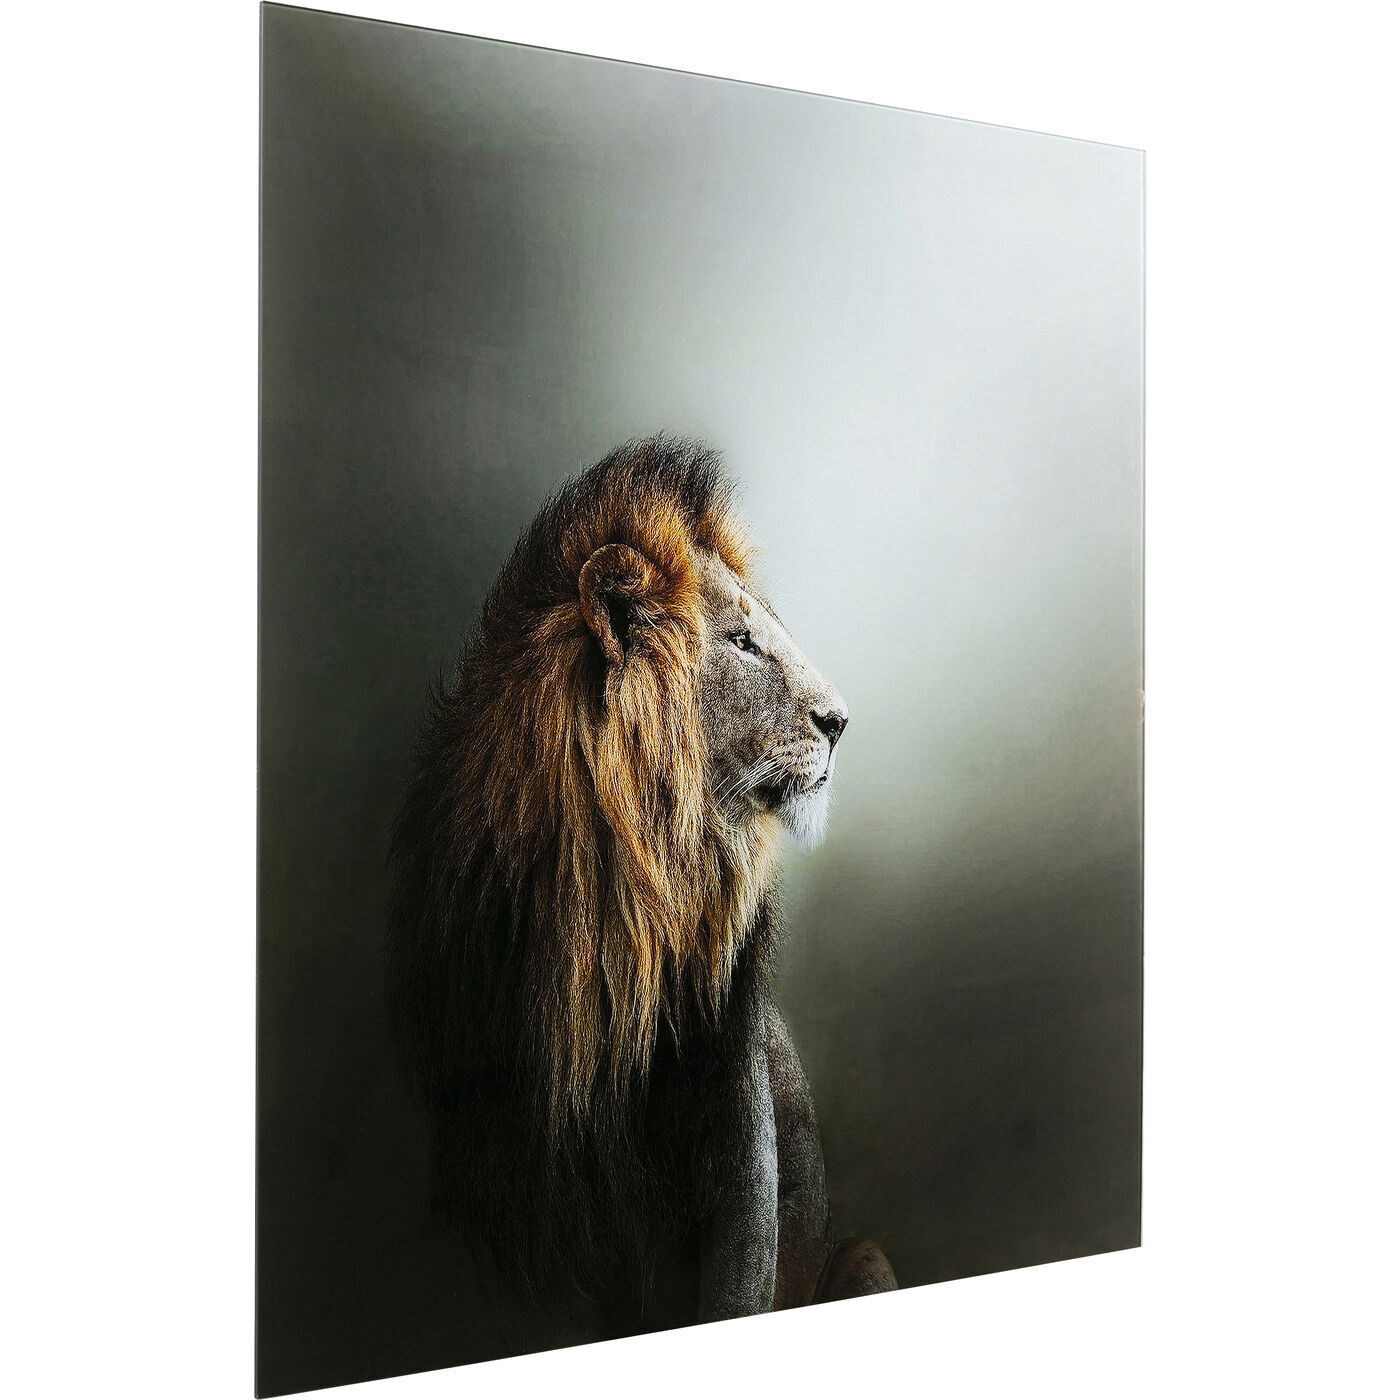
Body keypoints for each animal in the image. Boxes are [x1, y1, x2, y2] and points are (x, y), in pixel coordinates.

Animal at [386, 435, 896, 1343]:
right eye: (742, 642)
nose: (842, 722)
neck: (620, 909)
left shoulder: (738, 1151)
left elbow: (735, 1291)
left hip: (867, 1256)